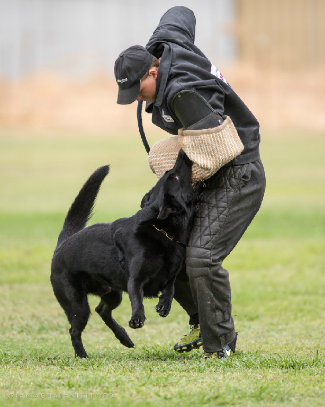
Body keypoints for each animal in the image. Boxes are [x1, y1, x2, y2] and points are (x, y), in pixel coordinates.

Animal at [50, 151, 200, 358]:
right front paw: (137, 318)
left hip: (113, 294)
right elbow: (137, 299)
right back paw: (82, 355)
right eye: (174, 176)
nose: (182, 153)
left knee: (102, 310)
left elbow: (170, 288)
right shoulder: (135, 280)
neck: (161, 230)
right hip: (77, 306)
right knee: (74, 330)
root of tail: (62, 244)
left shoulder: (172, 274)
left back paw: (124, 338)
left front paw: (164, 305)